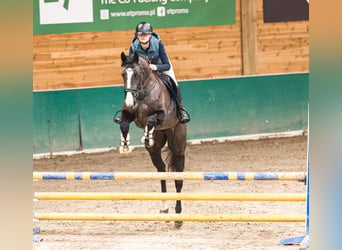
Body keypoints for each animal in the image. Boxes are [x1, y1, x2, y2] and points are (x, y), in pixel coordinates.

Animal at [114, 51, 187, 228]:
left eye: (137, 74)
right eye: (123, 74)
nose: (129, 101)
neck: (141, 93)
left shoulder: (161, 115)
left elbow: (152, 120)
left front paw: (146, 135)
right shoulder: (129, 115)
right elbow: (124, 124)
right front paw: (125, 145)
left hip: (178, 146)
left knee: (178, 179)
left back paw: (178, 216)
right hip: (154, 152)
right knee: (161, 172)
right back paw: (165, 209)